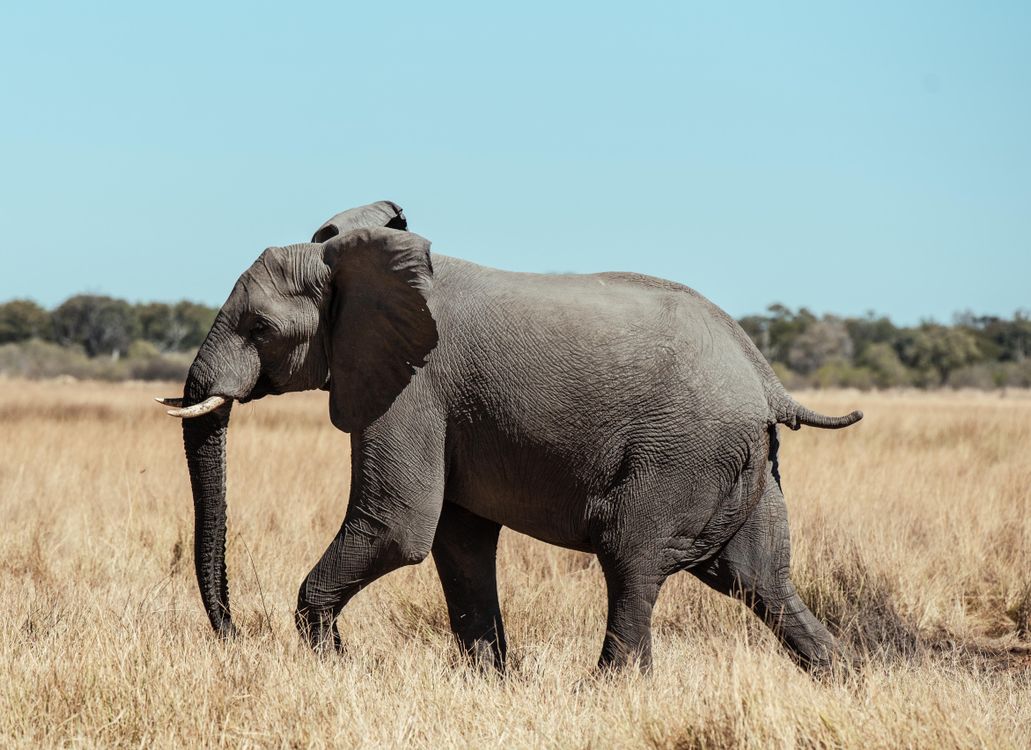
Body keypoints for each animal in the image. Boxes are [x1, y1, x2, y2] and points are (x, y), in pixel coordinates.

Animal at [157, 200, 862, 672]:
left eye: (259, 327)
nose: (234, 636)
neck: (357, 263)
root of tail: (764, 375)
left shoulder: (412, 385)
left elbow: (398, 526)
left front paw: (332, 663)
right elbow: (459, 540)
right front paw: (490, 678)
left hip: (682, 453)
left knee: (632, 560)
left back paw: (608, 691)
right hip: (743, 464)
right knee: (759, 579)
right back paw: (841, 679)